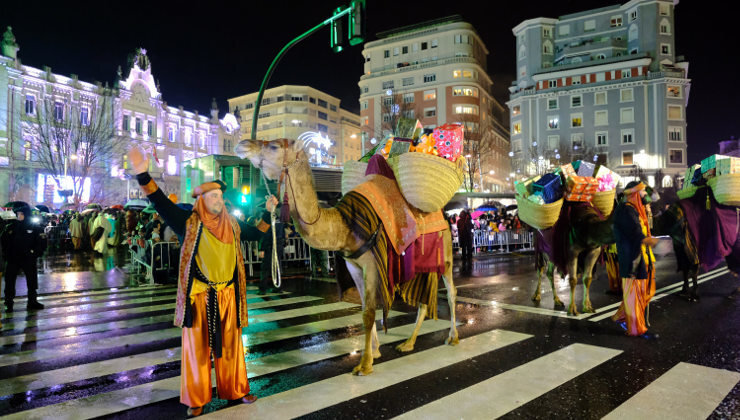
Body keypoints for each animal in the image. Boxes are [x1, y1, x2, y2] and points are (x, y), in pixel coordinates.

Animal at [237, 137, 456, 374]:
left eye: (274, 146)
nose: (243, 144)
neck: (343, 225)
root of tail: (443, 212)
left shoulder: (371, 263)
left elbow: (369, 311)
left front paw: (364, 364)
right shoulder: (354, 265)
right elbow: (364, 307)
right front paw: (375, 351)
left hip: (446, 252)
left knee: (451, 292)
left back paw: (452, 337)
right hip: (421, 261)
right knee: (425, 299)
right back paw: (408, 343)